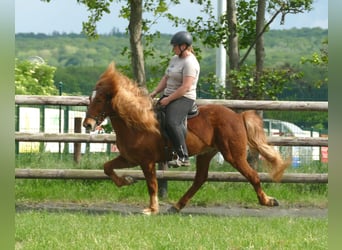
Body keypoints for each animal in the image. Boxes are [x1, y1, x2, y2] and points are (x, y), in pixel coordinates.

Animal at [83, 63, 288, 215]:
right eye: (90, 98)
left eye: (99, 100)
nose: (87, 124)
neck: (136, 122)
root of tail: (237, 116)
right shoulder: (129, 158)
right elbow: (107, 167)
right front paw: (126, 181)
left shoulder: (146, 161)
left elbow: (152, 184)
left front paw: (151, 209)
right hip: (206, 154)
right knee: (200, 179)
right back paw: (177, 206)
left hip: (233, 155)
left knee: (252, 175)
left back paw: (268, 201)